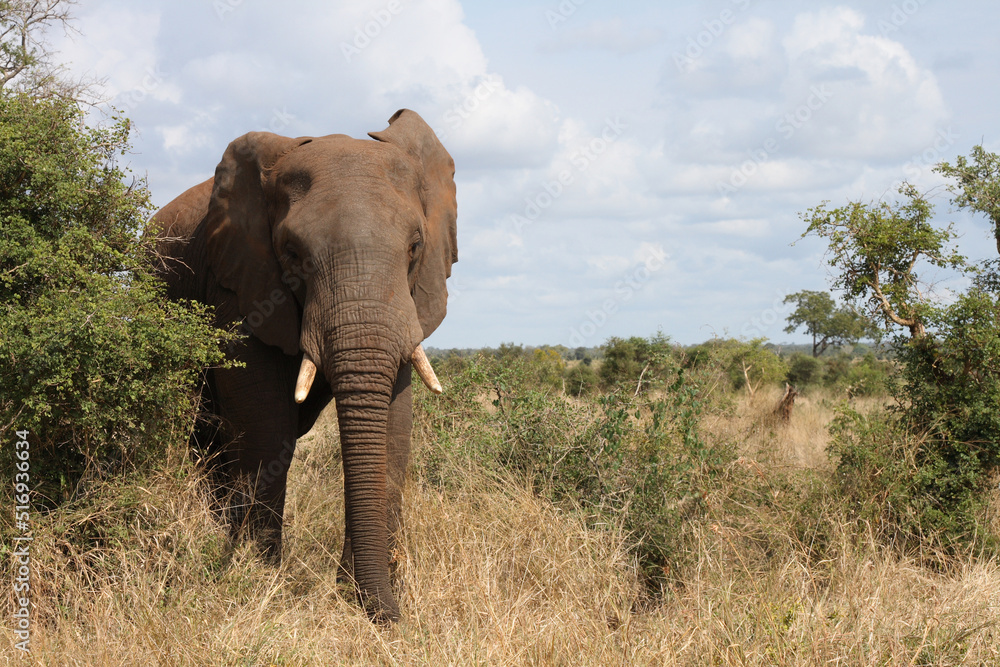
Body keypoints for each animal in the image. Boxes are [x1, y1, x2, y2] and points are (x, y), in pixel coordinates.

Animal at [151, 109, 457, 623]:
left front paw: (359, 592)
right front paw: (261, 578)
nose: (394, 620)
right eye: (292, 253)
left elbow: (394, 429)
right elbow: (266, 427)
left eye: (416, 247)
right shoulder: (239, 283)